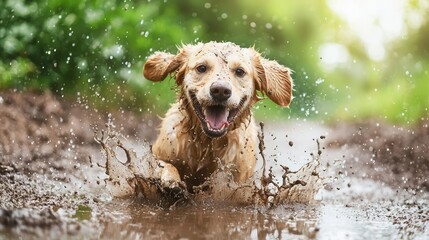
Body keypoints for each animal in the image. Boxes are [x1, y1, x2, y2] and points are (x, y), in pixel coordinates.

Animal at [142, 41, 292, 191]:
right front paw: (171, 180)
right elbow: (164, 165)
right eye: (201, 68)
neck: (207, 143)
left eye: (240, 71)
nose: (220, 90)